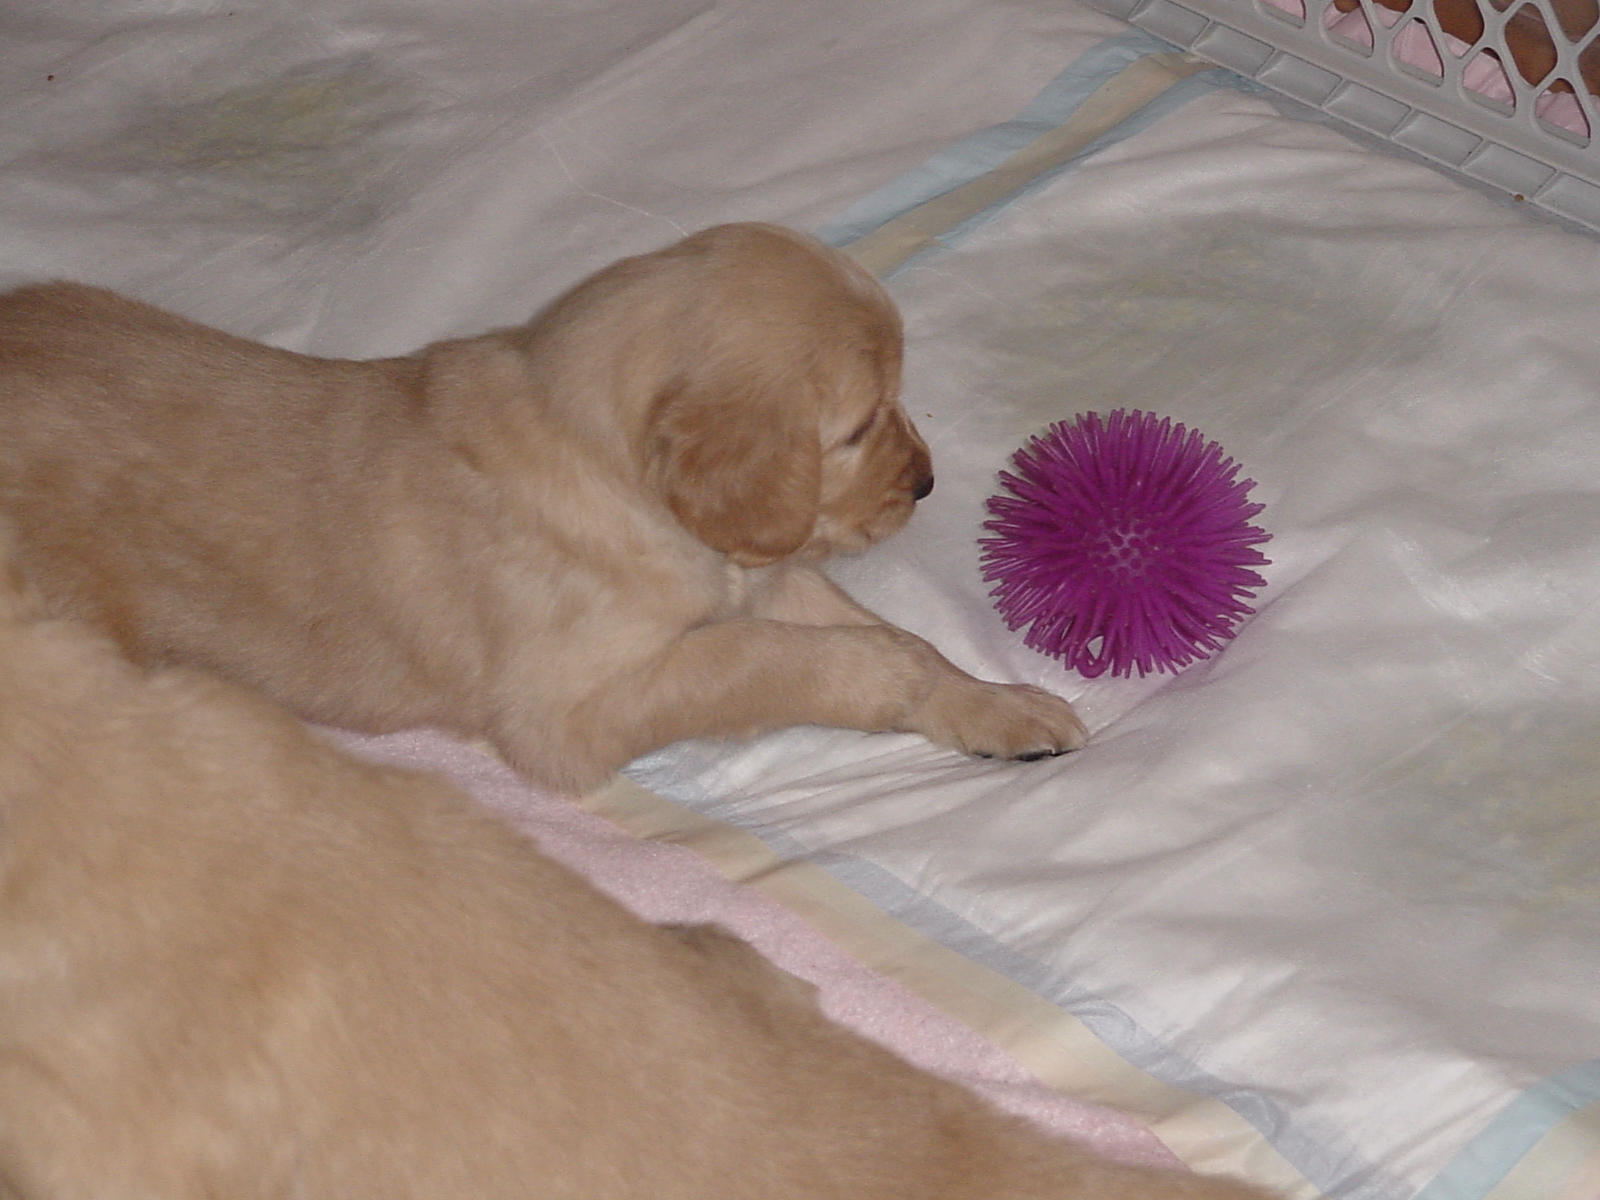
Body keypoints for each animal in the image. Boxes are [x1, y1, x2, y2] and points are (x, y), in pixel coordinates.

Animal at [0, 224, 1088, 800]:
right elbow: (787, 659)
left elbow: (891, 634)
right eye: (860, 426)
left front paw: (994, 703)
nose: (929, 484)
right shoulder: (567, 711)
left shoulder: (757, 574)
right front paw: (882, 674)